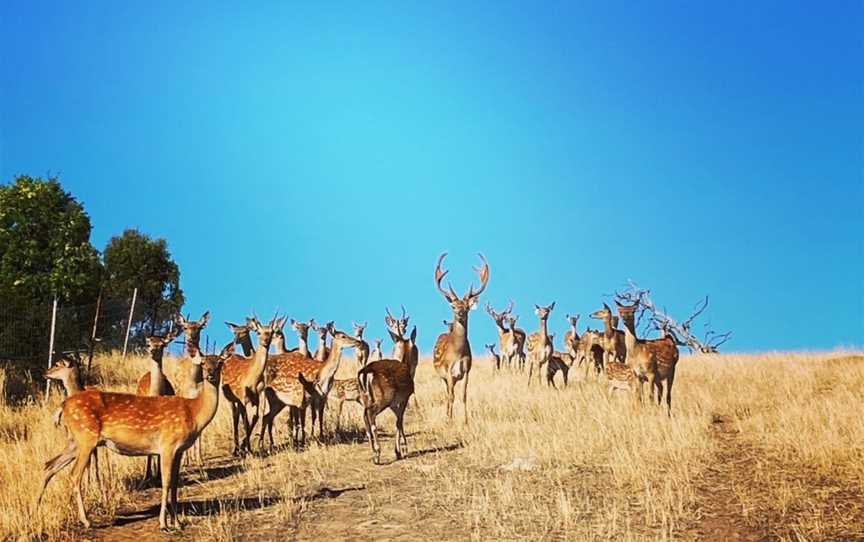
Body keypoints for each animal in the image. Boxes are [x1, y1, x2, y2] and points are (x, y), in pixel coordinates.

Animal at [38, 346, 233, 532]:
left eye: (220, 363)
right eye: (203, 363)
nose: (210, 375)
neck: (194, 412)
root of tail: (63, 404)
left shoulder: (179, 450)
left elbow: (175, 485)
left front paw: (177, 523)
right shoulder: (167, 445)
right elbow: (166, 483)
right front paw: (163, 524)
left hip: (75, 441)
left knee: (49, 465)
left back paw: (38, 508)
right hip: (86, 437)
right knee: (73, 474)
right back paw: (86, 521)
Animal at [219, 316, 276, 456]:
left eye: (272, 332)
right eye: (258, 332)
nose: (266, 341)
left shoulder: (257, 398)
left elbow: (255, 417)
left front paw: (247, 447)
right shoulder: (243, 398)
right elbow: (245, 421)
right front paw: (247, 449)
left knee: (238, 415)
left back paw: (240, 447)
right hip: (229, 398)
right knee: (234, 416)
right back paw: (235, 449)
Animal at [432, 253, 492, 428]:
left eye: (466, 307)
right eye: (453, 306)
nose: (459, 313)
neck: (458, 352)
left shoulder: (466, 370)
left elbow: (464, 395)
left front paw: (465, 421)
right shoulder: (448, 371)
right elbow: (452, 396)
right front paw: (450, 421)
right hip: (442, 376)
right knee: (447, 394)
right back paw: (447, 416)